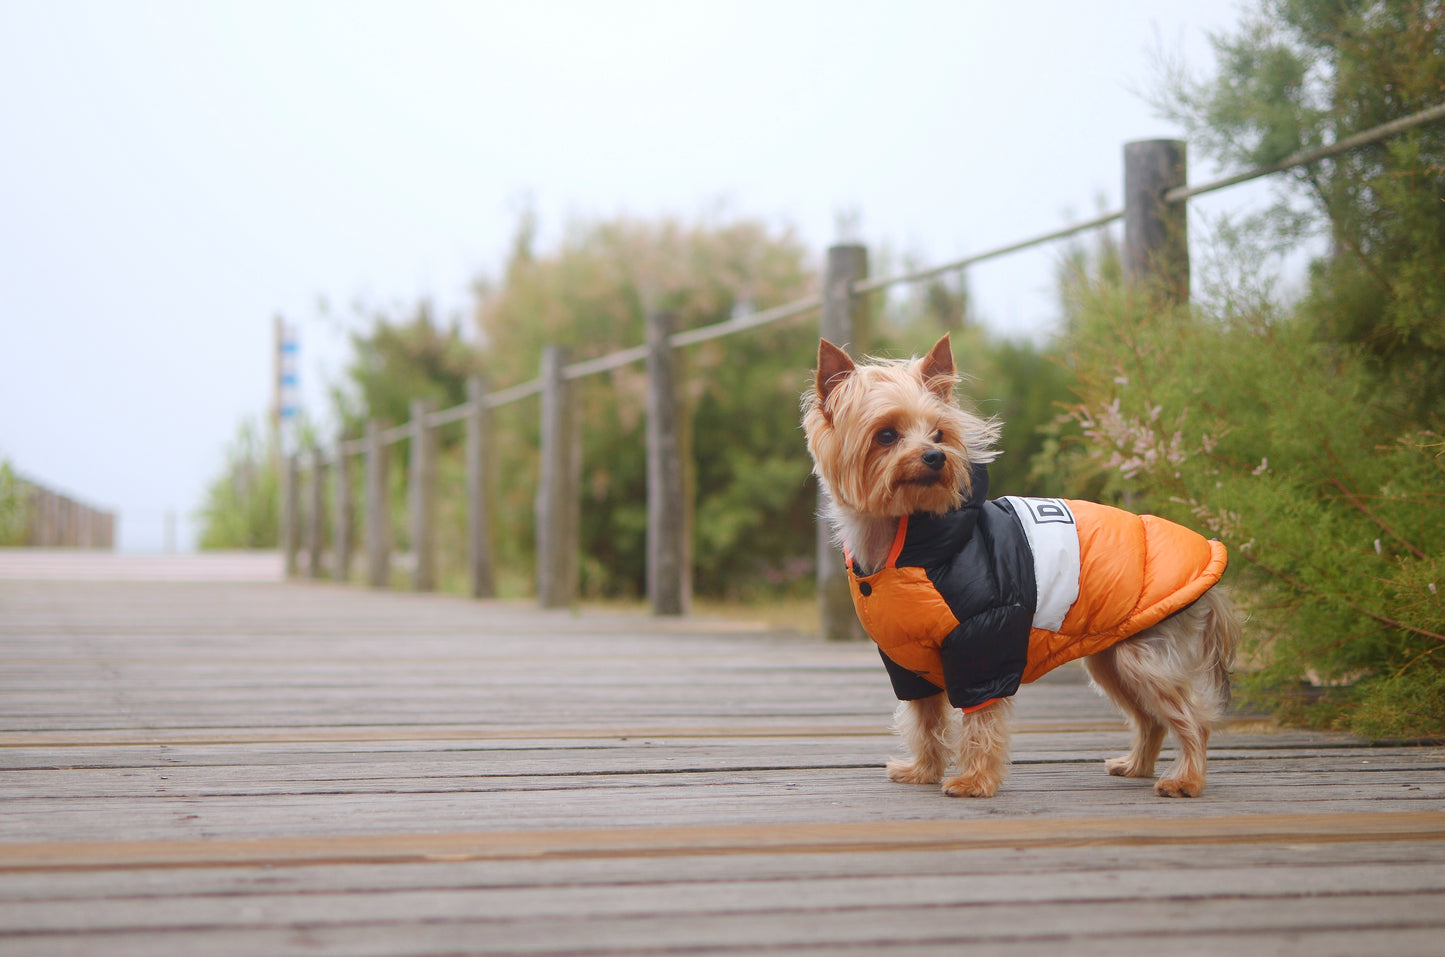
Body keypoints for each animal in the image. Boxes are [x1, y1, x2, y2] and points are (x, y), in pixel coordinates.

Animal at [803, 336, 1242, 803]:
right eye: (886, 435)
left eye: (940, 433)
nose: (936, 456)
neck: (910, 540)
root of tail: (1208, 556)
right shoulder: (907, 662)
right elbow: (926, 719)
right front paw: (922, 770)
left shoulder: (984, 642)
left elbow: (980, 720)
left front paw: (974, 781)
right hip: (1113, 657)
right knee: (1151, 718)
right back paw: (1136, 766)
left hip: (1142, 656)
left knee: (1191, 718)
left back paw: (1185, 780)